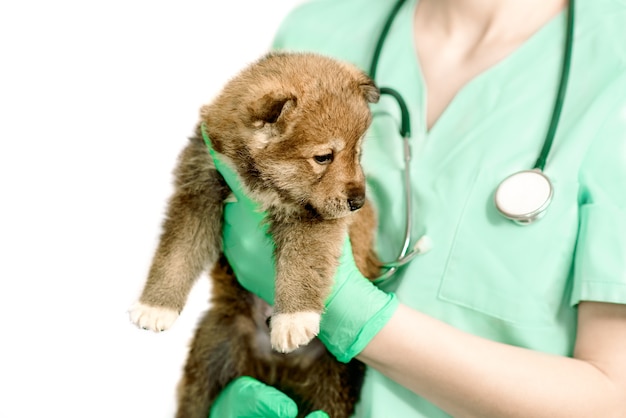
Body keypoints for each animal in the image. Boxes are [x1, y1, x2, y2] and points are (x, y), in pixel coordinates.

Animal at [129, 53, 378, 418]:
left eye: (358, 153)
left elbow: (301, 263)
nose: (357, 203)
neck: (259, 180)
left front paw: (293, 319)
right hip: (214, 350)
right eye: (324, 157)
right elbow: (176, 253)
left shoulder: (312, 218)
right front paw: (155, 305)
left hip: (333, 379)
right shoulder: (198, 195)